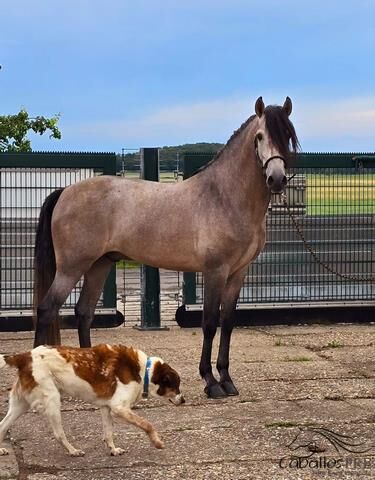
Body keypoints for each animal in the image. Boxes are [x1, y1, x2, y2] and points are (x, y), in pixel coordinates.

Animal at [0, 344, 185, 456]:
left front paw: (113, 450)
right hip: (52, 399)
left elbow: (108, 433)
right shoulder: (119, 408)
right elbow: (147, 424)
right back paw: (73, 451)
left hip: (20, 405)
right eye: (176, 385)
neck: (145, 371)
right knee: (59, 434)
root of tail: (24, 356)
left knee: (2, 426)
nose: (183, 400)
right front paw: (157, 442)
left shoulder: (106, 407)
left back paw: (1, 449)